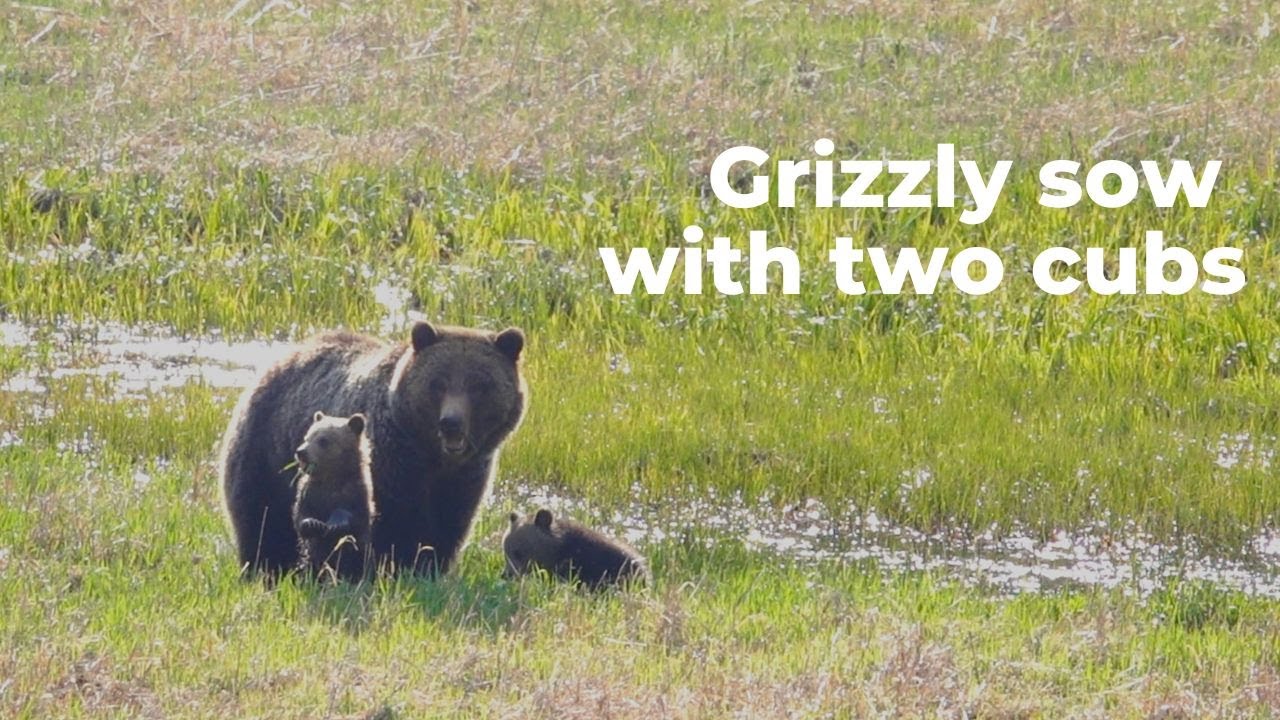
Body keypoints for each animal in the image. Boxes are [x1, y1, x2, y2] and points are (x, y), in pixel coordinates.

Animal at [292, 411, 375, 582]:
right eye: (307, 437)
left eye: (323, 440)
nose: (301, 452)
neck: (331, 479)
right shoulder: (308, 493)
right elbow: (300, 517)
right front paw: (313, 523)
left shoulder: (356, 492)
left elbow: (356, 517)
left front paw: (335, 523)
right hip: (309, 561)